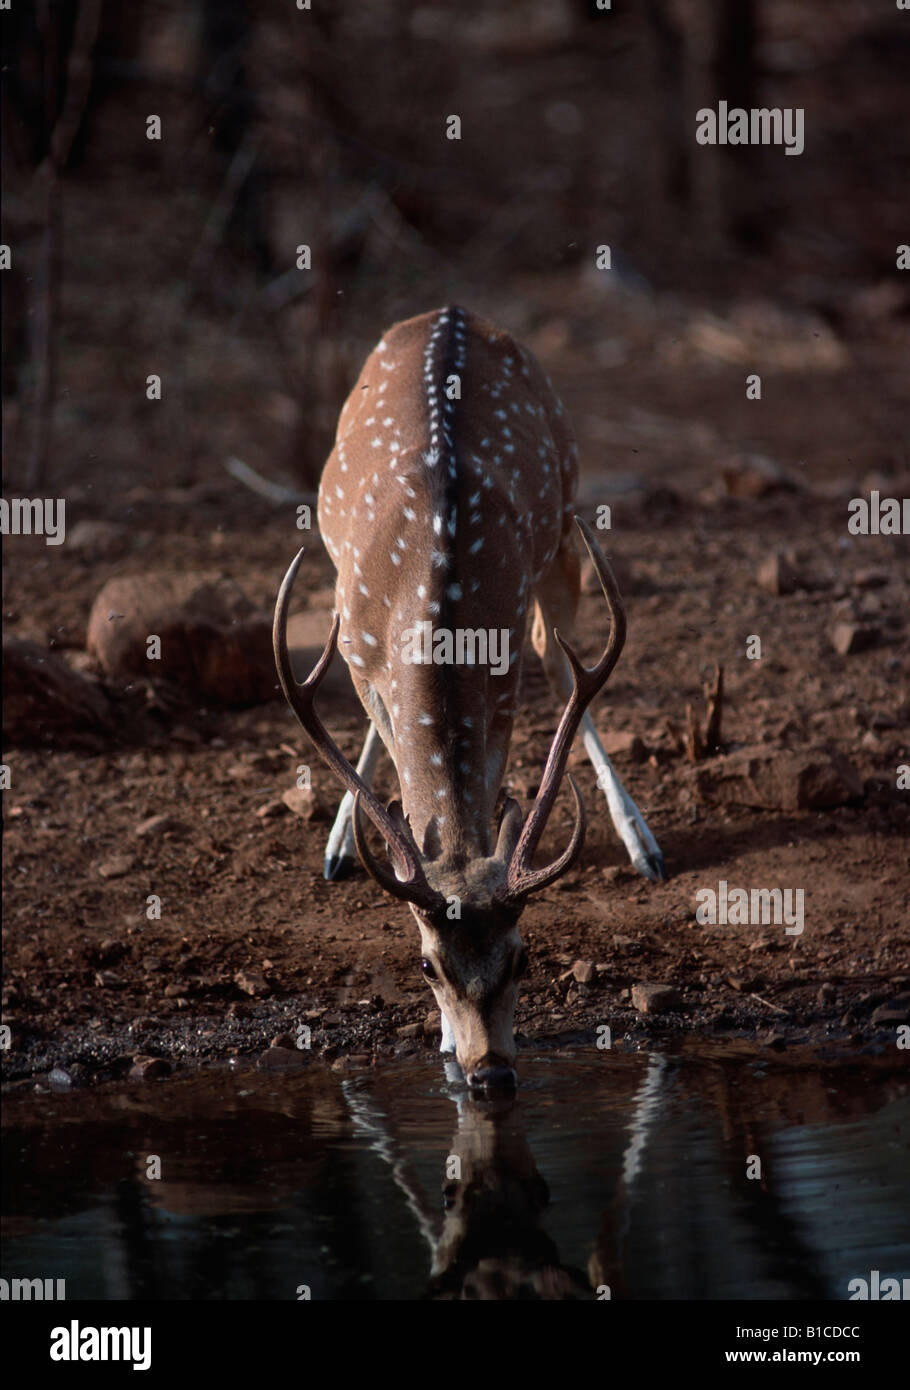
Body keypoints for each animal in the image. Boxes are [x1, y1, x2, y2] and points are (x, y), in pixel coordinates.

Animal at [273, 306, 665, 1091]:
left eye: (524, 955)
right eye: (426, 966)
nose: (490, 1071)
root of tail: (449, 310)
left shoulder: (503, 659)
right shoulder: (359, 649)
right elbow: (396, 770)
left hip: (565, 513)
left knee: (561, 659)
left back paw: (643, 843)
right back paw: (337, 846)